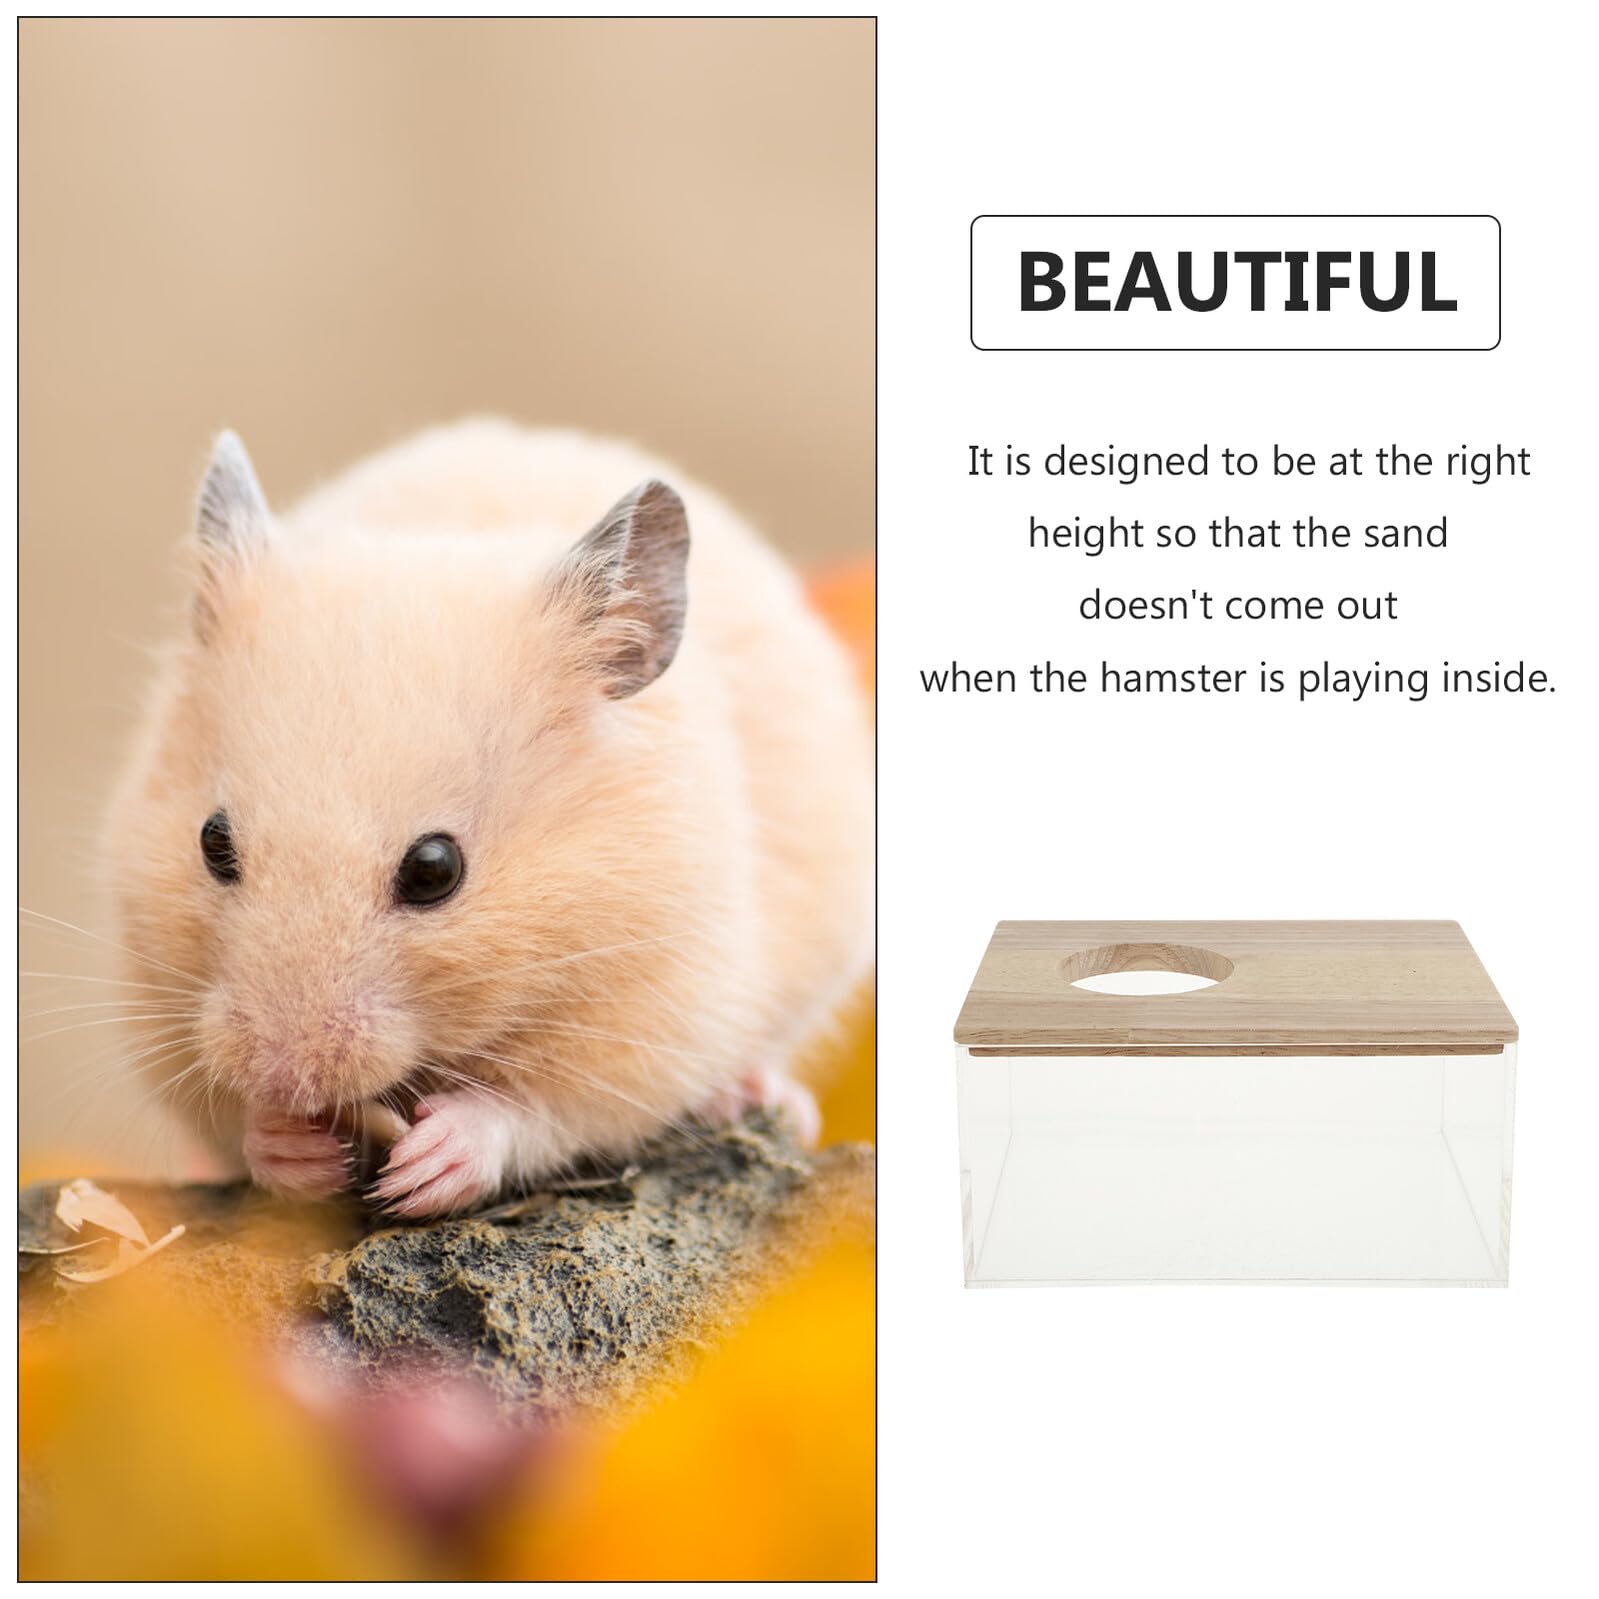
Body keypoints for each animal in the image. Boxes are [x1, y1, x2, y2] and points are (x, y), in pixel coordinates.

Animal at [106, 421, 873, 1216]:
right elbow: (232, 1122)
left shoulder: (650, 1020)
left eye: (434, 869)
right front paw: (296, 1146)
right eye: (212, 842)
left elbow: (537, 1111)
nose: (285, 1075)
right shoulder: (155, 995)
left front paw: (420, 1172)